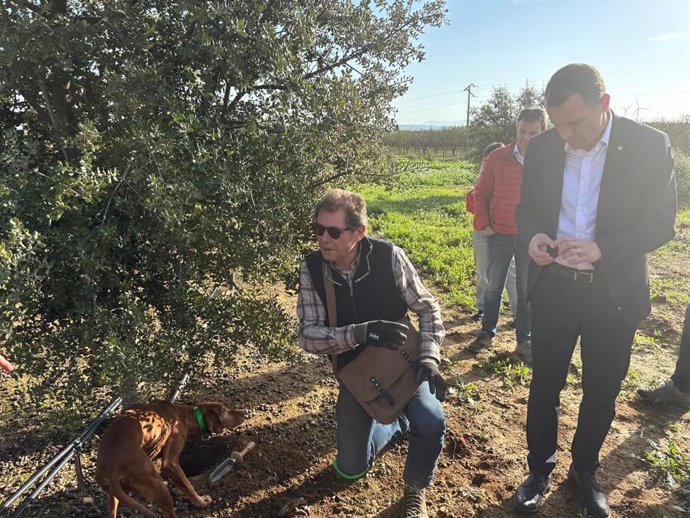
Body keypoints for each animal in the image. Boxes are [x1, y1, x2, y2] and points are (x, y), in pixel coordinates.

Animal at [94, 402, 245, 518]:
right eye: (224, 410)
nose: (245, 412)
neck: (184, 415)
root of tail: (111, 468)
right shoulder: (170, 463)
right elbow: (188, 486)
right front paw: (201, 501)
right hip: (158, 486)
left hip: (113, 497)